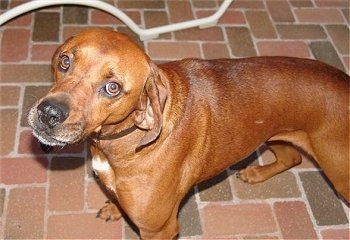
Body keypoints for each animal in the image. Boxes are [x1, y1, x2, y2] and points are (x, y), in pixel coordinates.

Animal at [28, 28, 350, 238]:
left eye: (113, 87)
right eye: (65, 61)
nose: (48, 113)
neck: (124, 140)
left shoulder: (160, 229)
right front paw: (114, 208)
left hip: (339, 173)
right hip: (274, 133)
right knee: (291, 158)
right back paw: (257, 173)